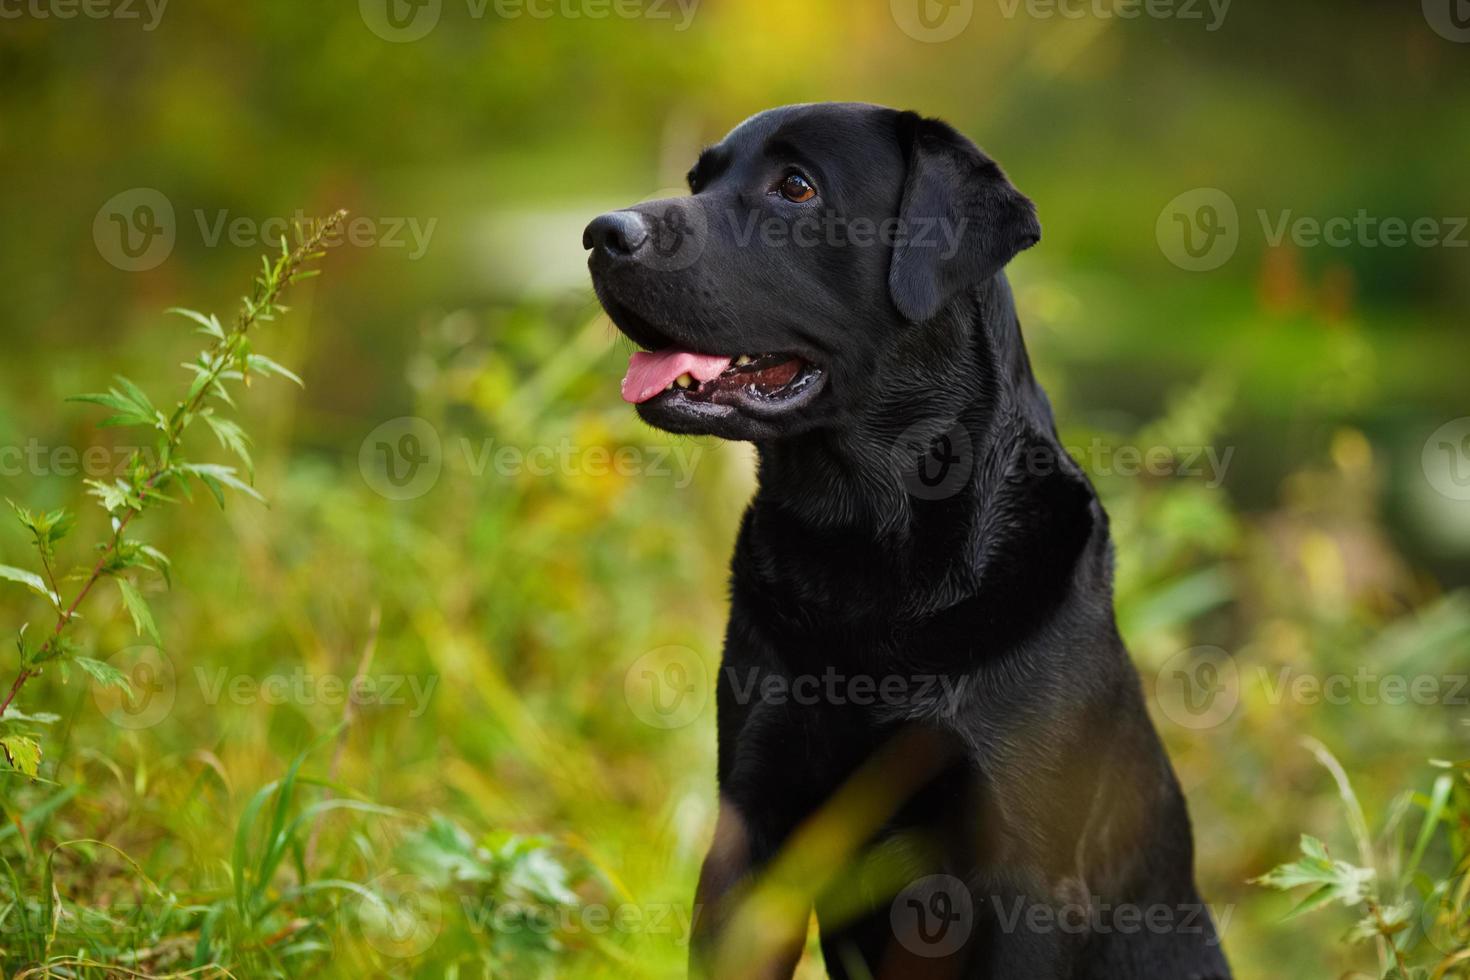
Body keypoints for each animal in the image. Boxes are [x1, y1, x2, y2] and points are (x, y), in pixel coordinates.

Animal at [585, 103, 1228, 975]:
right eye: (698, 179)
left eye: (796, 186)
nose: (600, 233)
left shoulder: (1025, 875)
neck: (874, 549)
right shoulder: (753, 833)